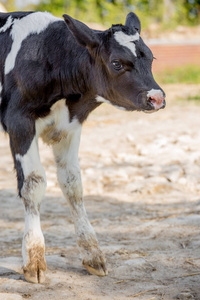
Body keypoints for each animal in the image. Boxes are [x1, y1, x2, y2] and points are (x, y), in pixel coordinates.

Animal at [0, 11, 166, 284]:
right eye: (117, 63)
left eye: (151, 58)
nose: (157, 97)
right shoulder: (19, 121)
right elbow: (34, 183)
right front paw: (34, 259)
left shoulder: (70, 127)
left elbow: (73, 184)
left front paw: (93, 254)